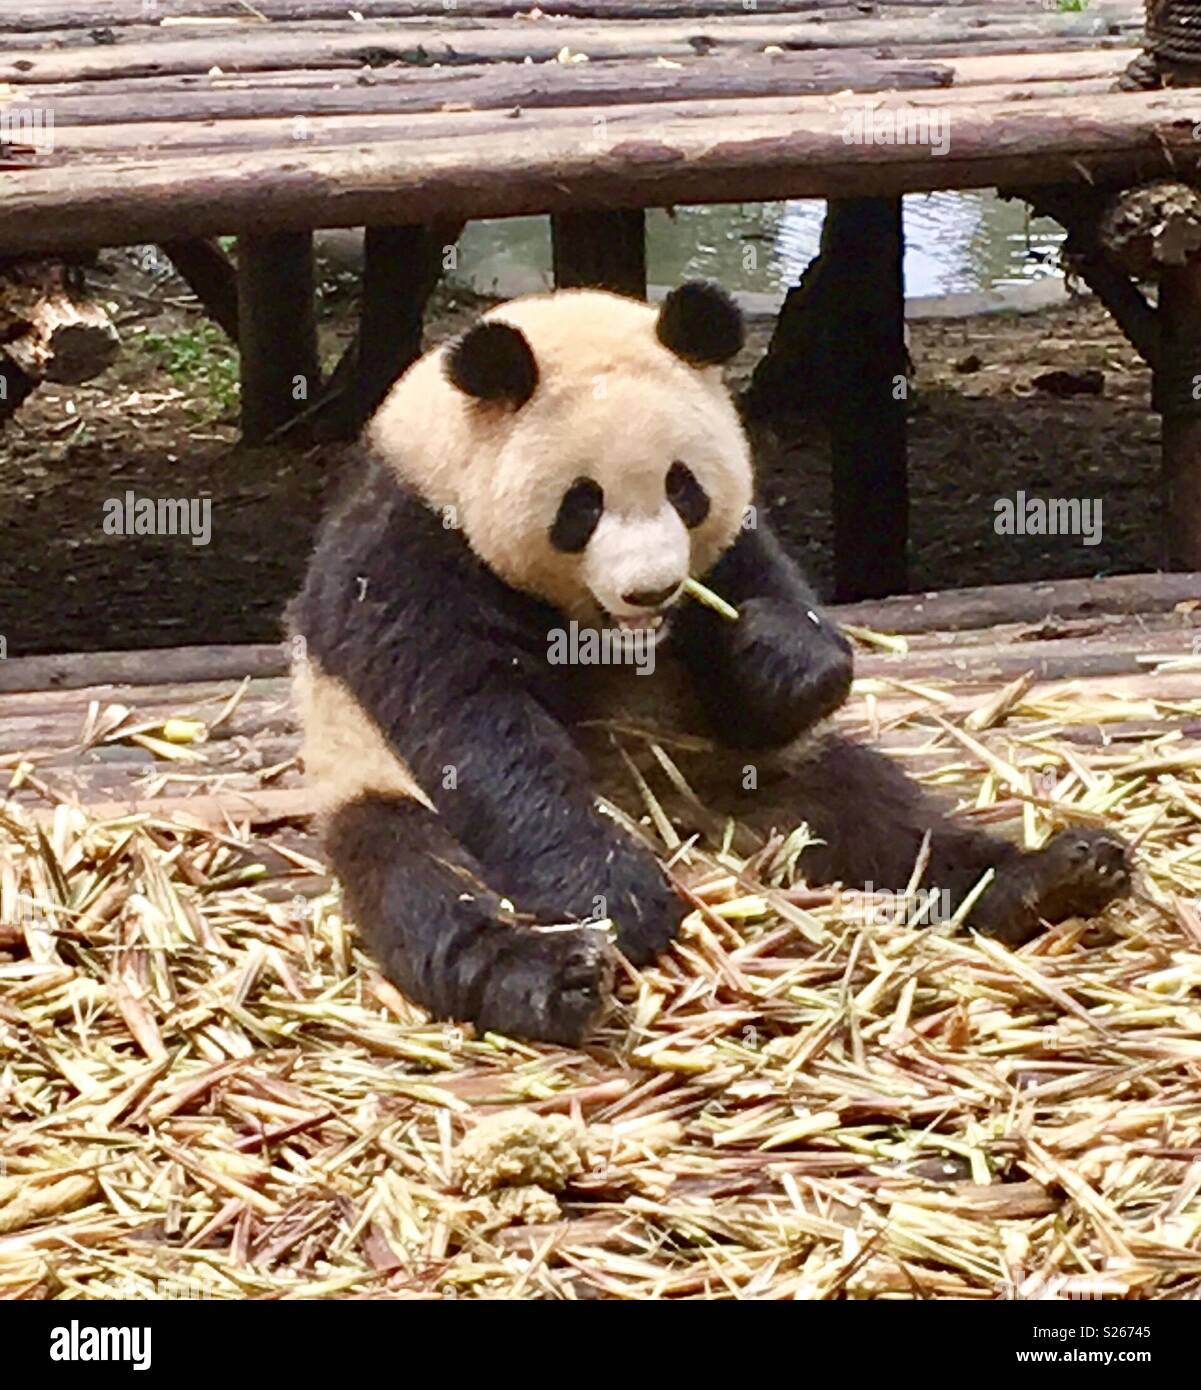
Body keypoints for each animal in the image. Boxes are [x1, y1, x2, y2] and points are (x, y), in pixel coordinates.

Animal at [290, 281, 1132, 1045]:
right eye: (581, 504)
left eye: (682, 487)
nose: (651, 589)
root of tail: (697, 833)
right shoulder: (408, 555)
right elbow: (475, 725)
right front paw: (618, 898)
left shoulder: (729, 559)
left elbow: (767, 624)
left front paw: (780, 654)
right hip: (375, 784)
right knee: (424, 881)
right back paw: (551, 980)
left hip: (754, 775)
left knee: (886, 820)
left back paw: (1053, 875)